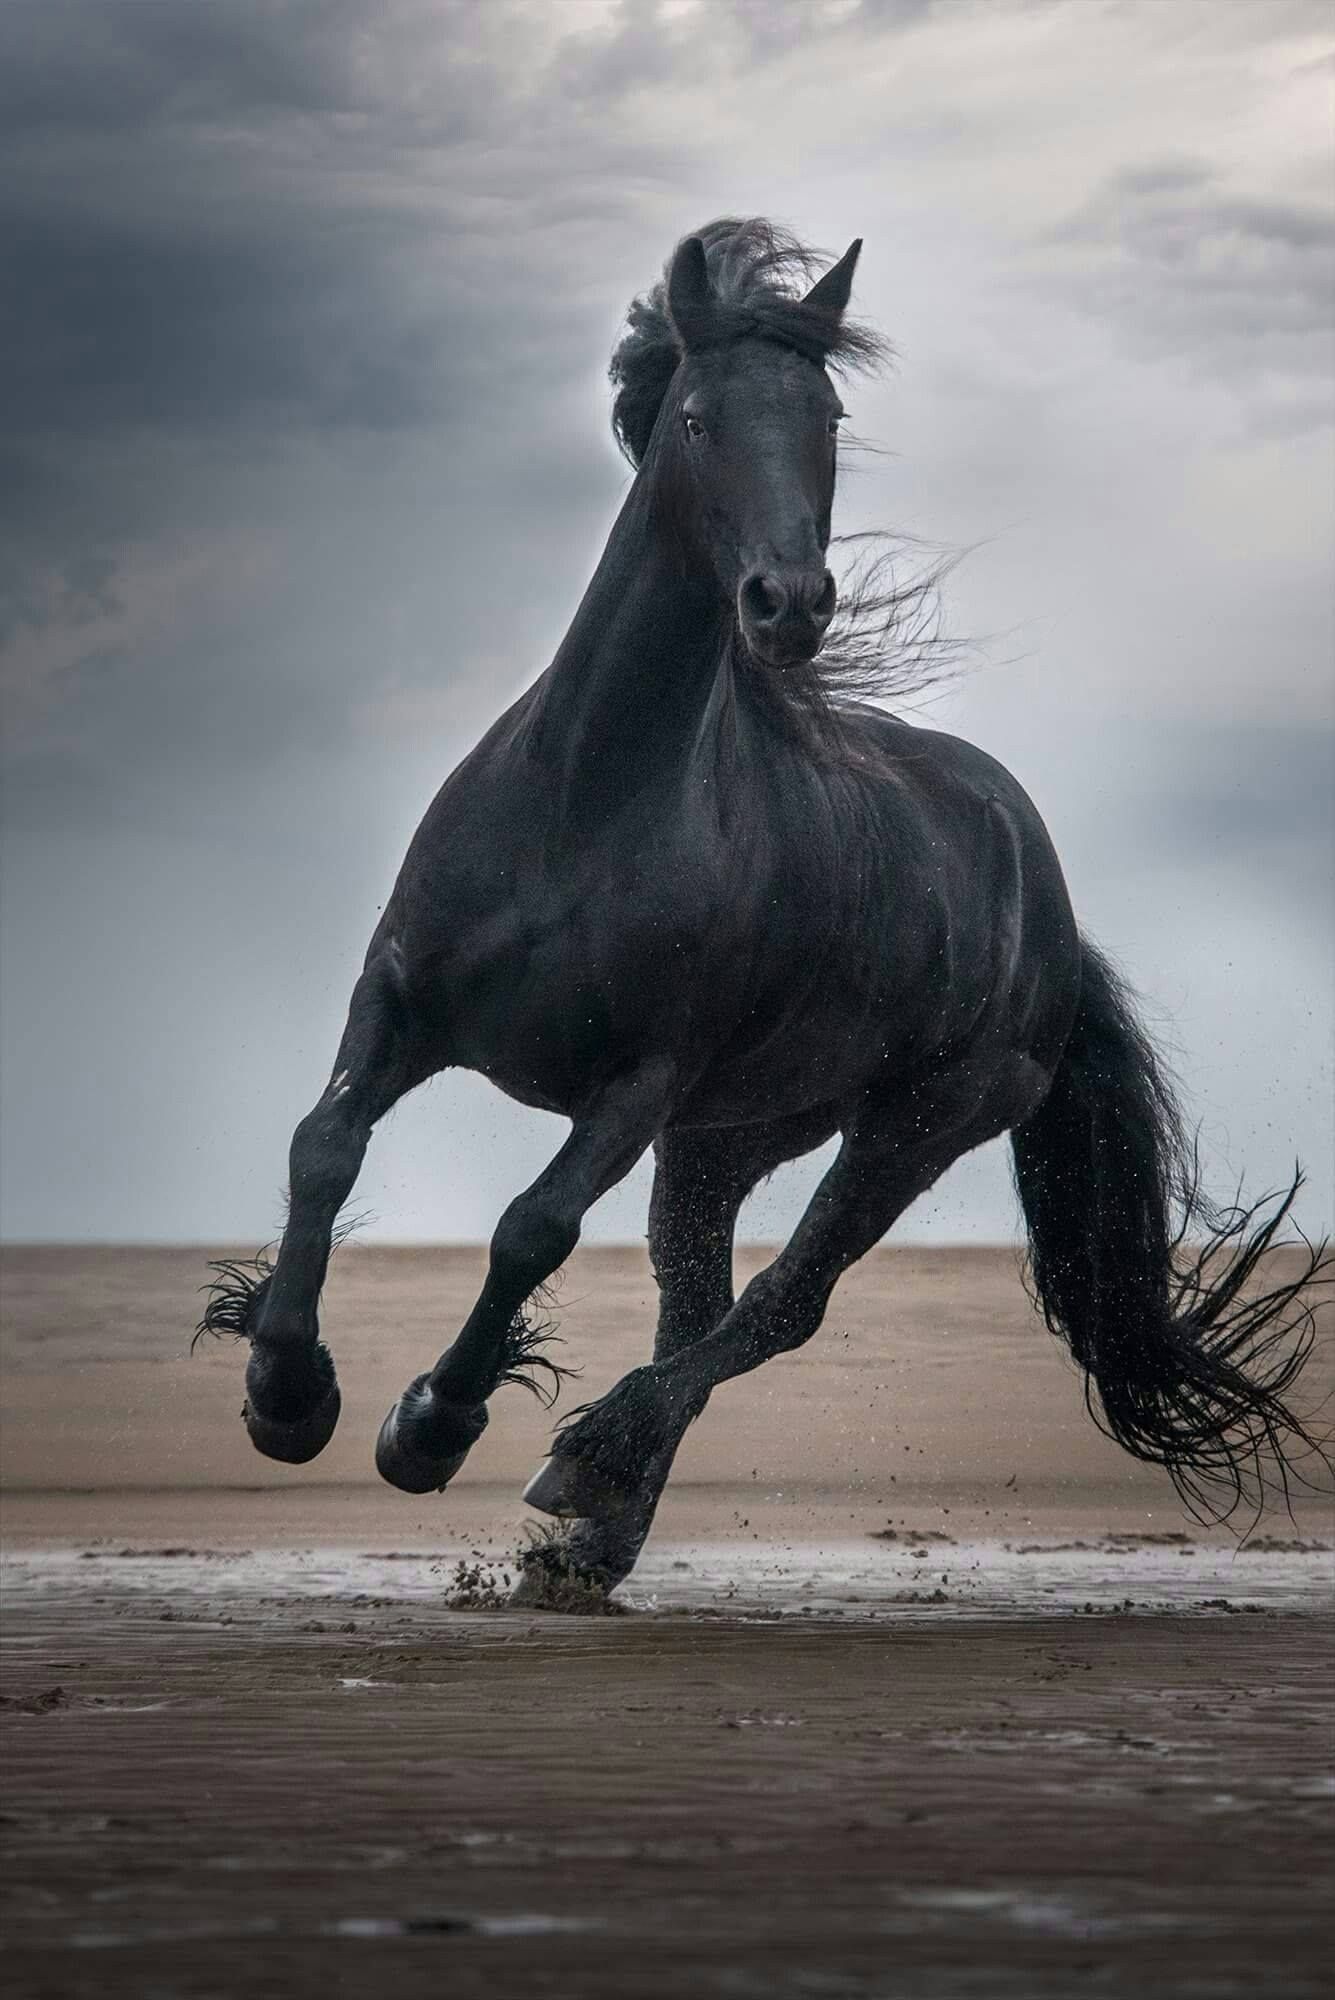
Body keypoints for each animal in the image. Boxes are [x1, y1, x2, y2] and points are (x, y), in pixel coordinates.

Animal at [200, 219, 1327, 1592]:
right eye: (693, 417)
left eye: (828, 415)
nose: (787, 605)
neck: (586, 800)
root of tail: (1049, 904)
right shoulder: (405, 999)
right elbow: (325, 1144)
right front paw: (285, 1390)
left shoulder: (638, 1081)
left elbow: (531, 1229)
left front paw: (429, 1425)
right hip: (730, 1136)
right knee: (699, 1298)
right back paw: (591, 1537)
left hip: (911, 1126)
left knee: (777, 1304)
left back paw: (592, 1459)